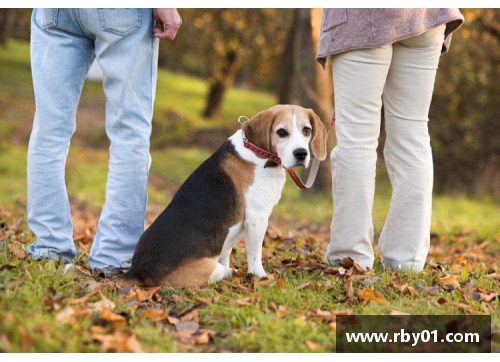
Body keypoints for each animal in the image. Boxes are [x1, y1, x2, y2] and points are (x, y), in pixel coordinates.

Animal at [118, 105, 326, 288]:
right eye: (282, 132)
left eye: (306, 130)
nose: (301, 154)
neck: (257, 153)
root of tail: (138, 271)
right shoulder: (257, 219)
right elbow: (255, 255)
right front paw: (260, 277)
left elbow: (226, 252)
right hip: (209, 268)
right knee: (221, 270)